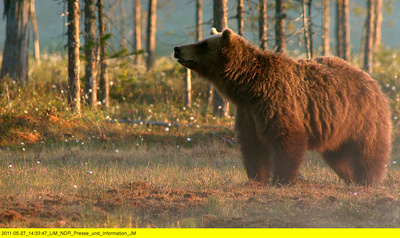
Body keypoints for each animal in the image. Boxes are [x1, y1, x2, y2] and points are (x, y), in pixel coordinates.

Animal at [173, 27, 392, 186]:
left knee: (368, 150)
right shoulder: (248, 112)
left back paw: (366, 180)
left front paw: (281, 179)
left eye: (202, 44)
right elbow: (252, 144)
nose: (177, 49)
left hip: (362, 117)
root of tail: (374, 82)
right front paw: (257, 178)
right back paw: (349, 177)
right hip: (337, 127)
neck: (247, 87)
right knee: (338, 155)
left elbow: (287, 138)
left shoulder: (276, 101)